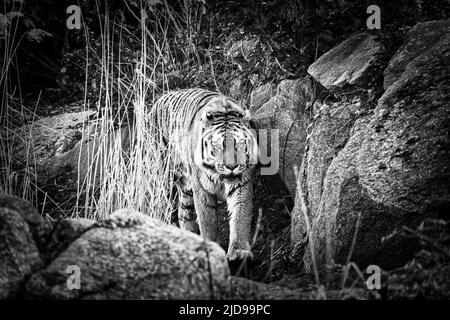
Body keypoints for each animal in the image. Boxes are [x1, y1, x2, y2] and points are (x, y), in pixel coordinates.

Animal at [153, 87, 256, 260]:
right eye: (218, 146)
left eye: (239, 144)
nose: (232, 166)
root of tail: (159, 99)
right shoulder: (202, 189)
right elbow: (208, 221)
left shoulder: (241, 184)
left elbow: (240, 216)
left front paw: (239, 252)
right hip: (165, 179)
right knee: (167, 210)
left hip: (186, 187)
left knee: (183, 212)